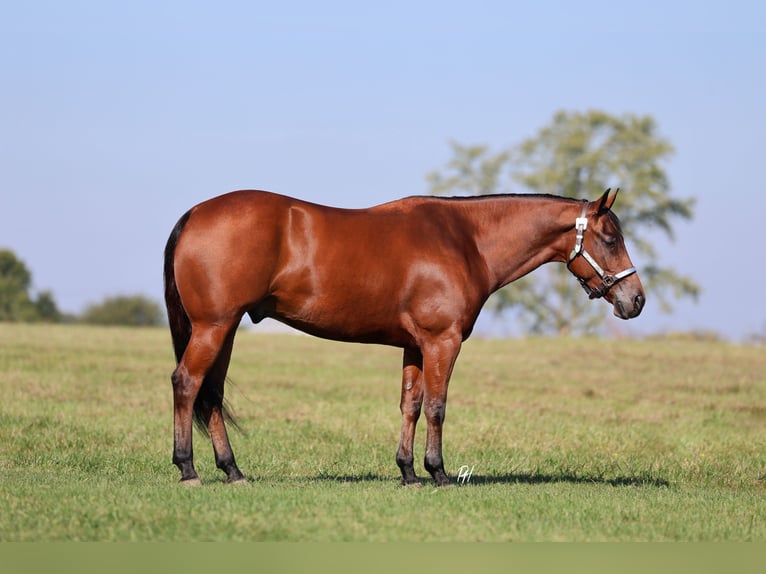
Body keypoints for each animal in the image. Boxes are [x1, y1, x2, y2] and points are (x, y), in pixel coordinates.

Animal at [163, 187, 644, 486]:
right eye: (610, 238)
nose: (636, 300)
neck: (466, 240)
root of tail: (194, 214)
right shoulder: (442, 341)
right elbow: (436, 406)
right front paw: (439, 473)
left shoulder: (415, 346)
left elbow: (410, 406)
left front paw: (408, 472)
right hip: (214, 327)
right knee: (187, 383)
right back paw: (188, 470)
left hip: (225, 329)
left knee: (212, 393)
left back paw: (232, 471)